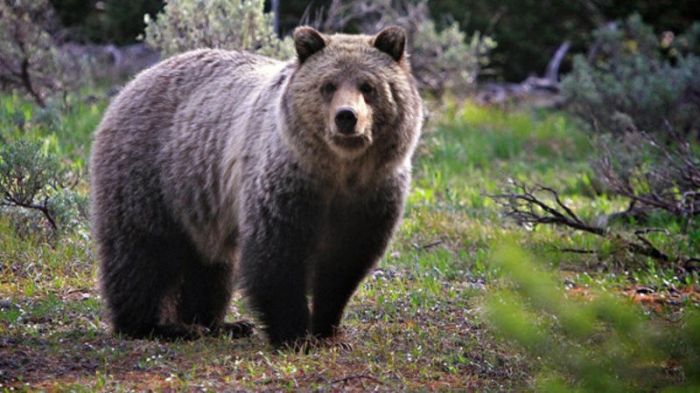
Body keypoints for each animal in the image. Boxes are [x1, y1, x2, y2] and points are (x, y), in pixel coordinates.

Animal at [90, 26, 424, 346]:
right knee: (141, 253)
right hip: (151, 177)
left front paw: (328, 330)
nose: (346, 117)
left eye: (368, 86)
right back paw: (157, 326)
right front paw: (294, 334)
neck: (339, 171)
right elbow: (277, 257)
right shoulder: (285, 184)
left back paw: (219, 324)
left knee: (210, 266)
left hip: (200, 204)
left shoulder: (371, 195)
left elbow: (344, 265)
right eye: (328, 85)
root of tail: (133, 82)